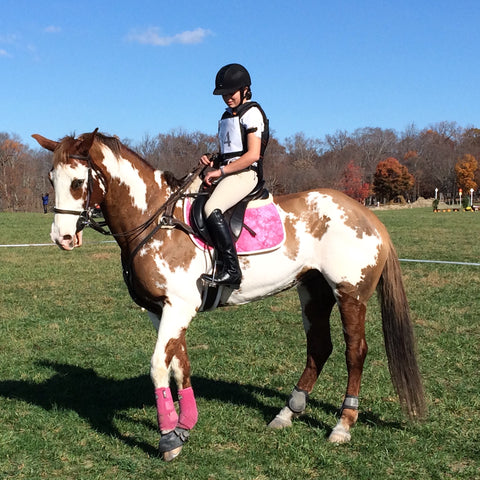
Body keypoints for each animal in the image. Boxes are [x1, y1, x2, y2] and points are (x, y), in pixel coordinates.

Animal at [32, 131, 424, 462]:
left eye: (77, 182)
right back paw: (287, 412)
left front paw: (167, 439)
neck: (155, 220)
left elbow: (159, 367)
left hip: (349, 295)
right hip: (313, 294)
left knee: (355, 352)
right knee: (319, 348)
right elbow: (179, 366)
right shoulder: (162, 311)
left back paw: (343, 424)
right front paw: (184, 426)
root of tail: (366, 214)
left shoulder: (178, 307)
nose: (61, 238)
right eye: (51, 180)